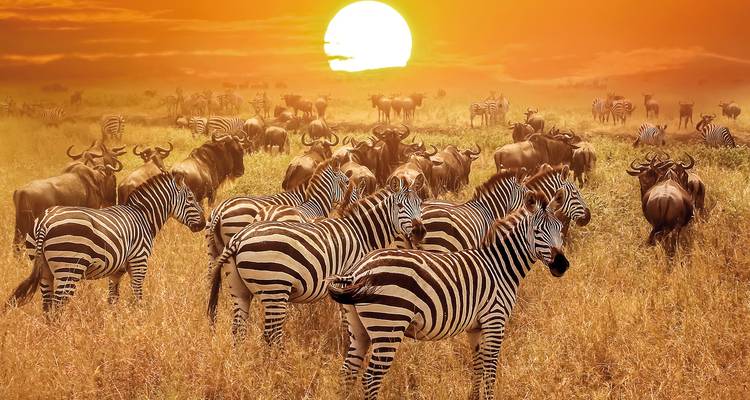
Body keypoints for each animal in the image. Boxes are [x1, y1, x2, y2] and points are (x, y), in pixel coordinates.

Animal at [6, 173, 205, 313]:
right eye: (190, 199)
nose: (203, 224)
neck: (143, 217)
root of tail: (45, 222)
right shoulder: (139, 262)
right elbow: (137, 296)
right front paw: (138, 321)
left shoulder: (116, 271)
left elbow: (113, 299)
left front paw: (115, 325)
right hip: (68, 268)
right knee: (58, 306)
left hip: (44, 269)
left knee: (47, 307)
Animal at [207, 176, 425, 344]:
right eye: (399, 206)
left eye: (420, 204)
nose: (420, 231)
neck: (360, 232)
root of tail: (239, 239)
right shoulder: (348, 281)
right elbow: (345, 319)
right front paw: (345, 341)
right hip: (275, 287)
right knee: (271, 333)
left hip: (239, 288)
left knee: (238, 328)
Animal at [327, 191, 569, 400]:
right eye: (537, 231)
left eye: (559, 229)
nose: (562, 265)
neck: (499, 265)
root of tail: (357, 271)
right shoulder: (495, 320)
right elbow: (490, 370)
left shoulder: (475, 326)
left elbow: (478, 365)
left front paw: (473, 397)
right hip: (389, 324)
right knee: (370, 378)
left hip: (359, 328)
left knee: (348, 371)